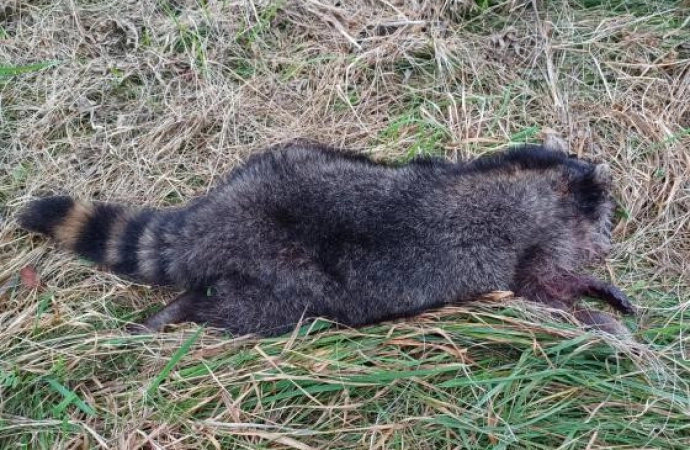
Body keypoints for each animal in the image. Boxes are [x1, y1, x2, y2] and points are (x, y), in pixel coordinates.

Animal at [17, 141, 636, 334]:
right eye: (605, 208)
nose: (610, 232)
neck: (542, 178)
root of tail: (219, 214)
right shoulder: (533, 239)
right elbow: (542, 287)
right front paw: (594, 302)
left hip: (291, 157)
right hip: (284, 279)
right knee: (243, 313)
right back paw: (186, 311)